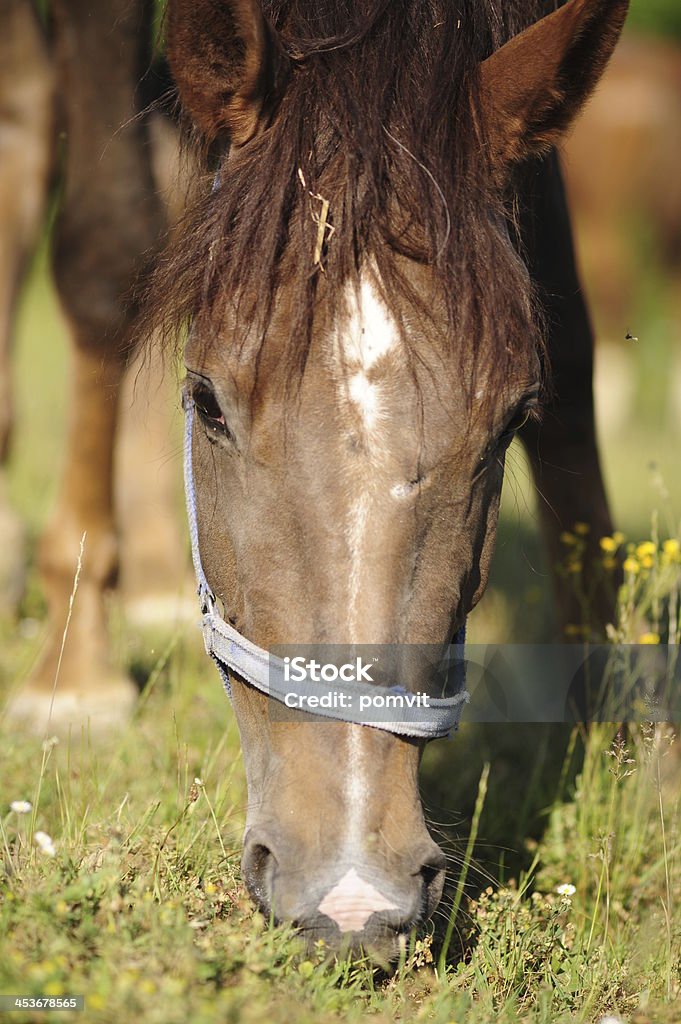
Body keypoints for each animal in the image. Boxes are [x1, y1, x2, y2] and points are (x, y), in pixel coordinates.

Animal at [1, 0, 626, 958]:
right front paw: (74, 677)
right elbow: (107, 258)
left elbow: (567, 322)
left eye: (510, 421)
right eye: (206, 402)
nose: (354, 894)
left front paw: (611, 720)